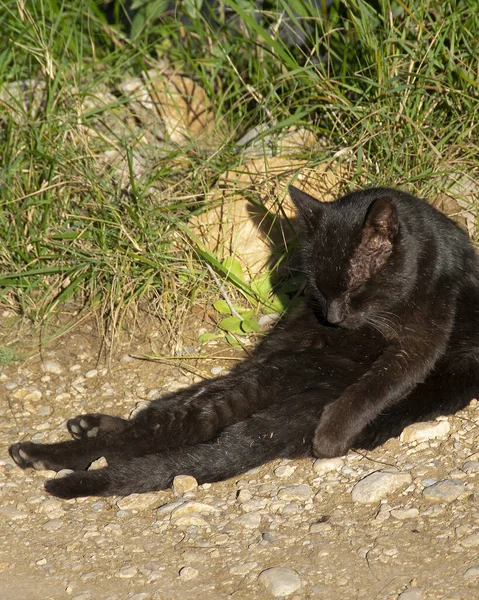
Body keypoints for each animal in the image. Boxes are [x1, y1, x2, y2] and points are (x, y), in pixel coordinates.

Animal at [8, 186, 479, 496]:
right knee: (168, 413)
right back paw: (88, 427)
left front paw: (331, 437)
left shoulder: (422, 335)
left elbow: (382, 380)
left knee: (174, 427)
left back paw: (40, 454)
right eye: (319, 288)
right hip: (268, 367)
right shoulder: (292, 329)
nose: (333, 319)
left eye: (355, 289)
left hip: (276, 378)